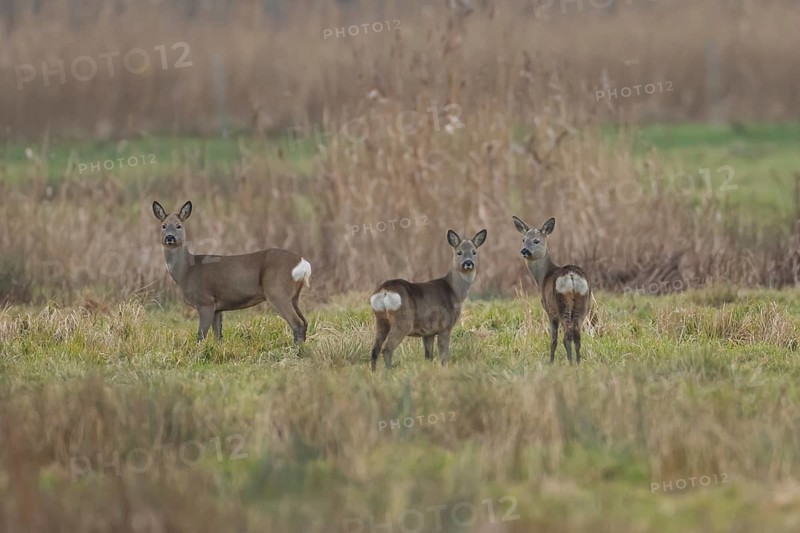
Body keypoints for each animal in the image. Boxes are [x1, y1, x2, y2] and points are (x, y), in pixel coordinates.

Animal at [152, 201, 311, 344]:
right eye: (163, 225)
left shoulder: (205, 301)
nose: (169, 237)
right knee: (305, 322)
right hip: (294, 296)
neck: (187, 272)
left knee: (297, 323)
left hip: (277, 291)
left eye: (179, 225)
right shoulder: (217, 307)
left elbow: (201, 336)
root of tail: (302, 262)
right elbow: (218, 336)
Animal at [369, 228, 487, 371]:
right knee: (387, 348)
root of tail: (385, 290)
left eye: (474, 252)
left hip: (381, 319)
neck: (454, 291)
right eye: (459, 252)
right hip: (402, 321)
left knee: (374, 349)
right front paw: (443, 369)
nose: (468, 263)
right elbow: (443, 355)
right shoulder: (445, 326)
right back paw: (388, 372)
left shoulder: (428, 332)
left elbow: (428, 356)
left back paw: (374, 373)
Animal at [512, 216, 591, 364]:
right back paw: (578, 362)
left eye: (536, 241)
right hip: (583, 302)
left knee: (567, 335)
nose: (524, 250)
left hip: (561, 302)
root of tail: (572, 276)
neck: (543, 277)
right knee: (577, 334)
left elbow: (553, 339)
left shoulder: (549, 310)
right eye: (523, 239)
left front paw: (551, 362)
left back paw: (570, 363)